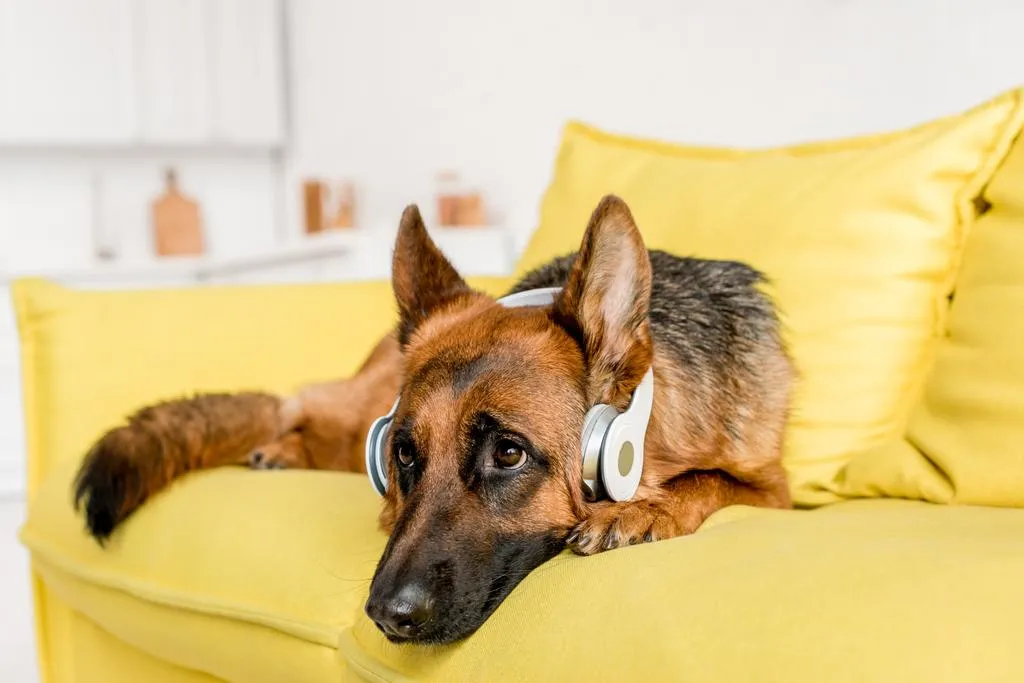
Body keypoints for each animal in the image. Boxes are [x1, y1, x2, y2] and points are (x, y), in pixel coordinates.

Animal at [72, 194, 794, 643]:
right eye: (404, 455)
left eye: (509, 453)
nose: (385, 616)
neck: (648, 434)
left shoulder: (774, 489)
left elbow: (707, 478)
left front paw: (644, 509)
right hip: (352, 405)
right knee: (296, 405)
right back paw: (282, 446)